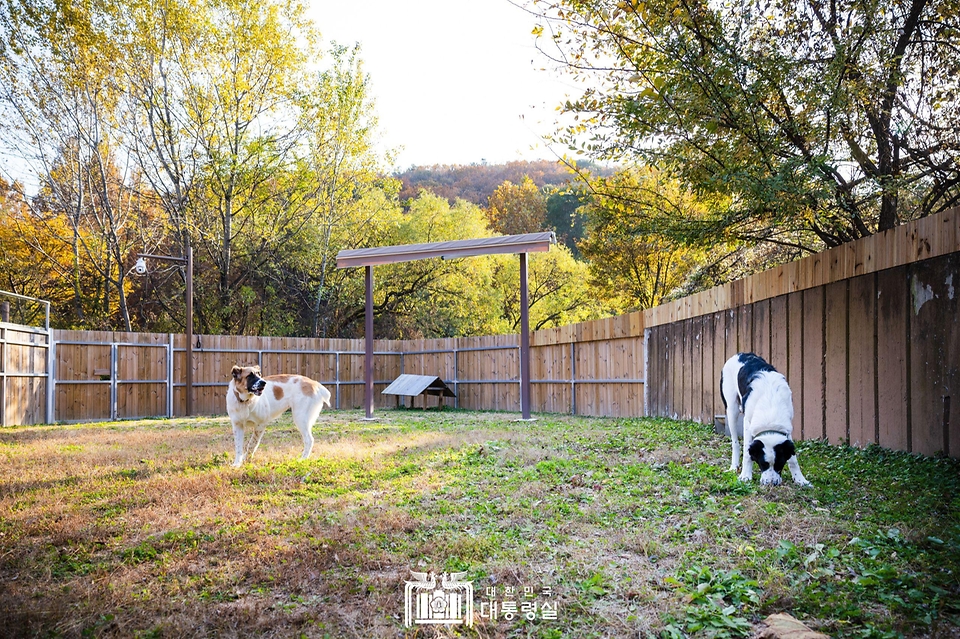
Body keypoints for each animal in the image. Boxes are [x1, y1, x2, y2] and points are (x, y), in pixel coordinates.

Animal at [720, 352, 808, 488]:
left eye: (780, 464)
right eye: (763, 464)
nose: (771, 483)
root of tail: (740, 354)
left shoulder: (787, 429)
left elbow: (793, 459)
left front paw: (800, 479)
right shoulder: (747, 424)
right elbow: (747, 453)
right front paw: (745, 476)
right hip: (731, 409)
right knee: (735, 442)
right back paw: (734, 466)